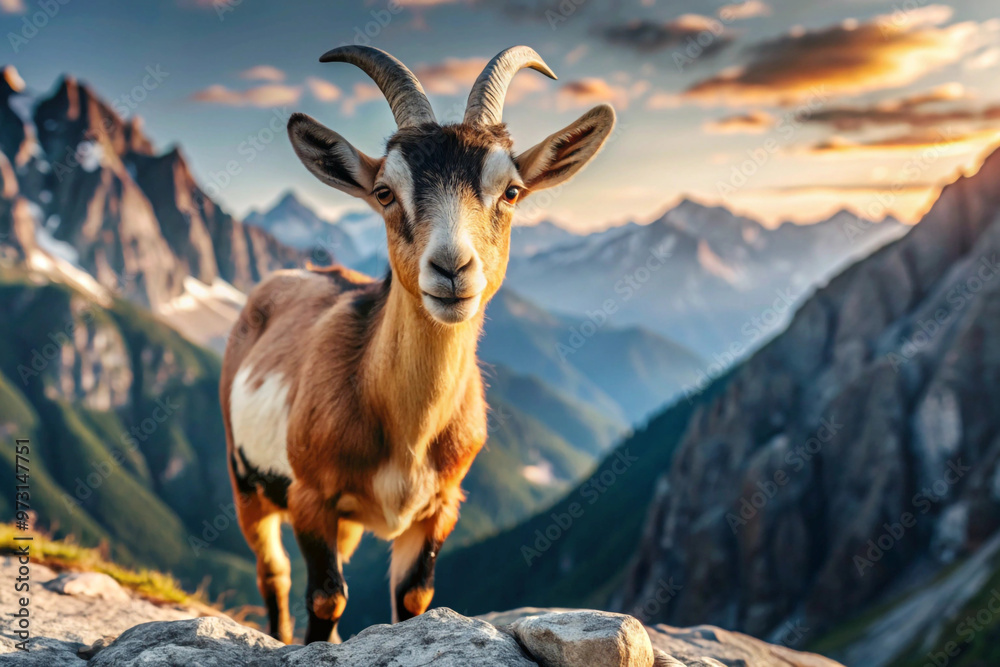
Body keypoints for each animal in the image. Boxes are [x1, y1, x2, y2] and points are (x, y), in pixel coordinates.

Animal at [220, 45, 615, 644]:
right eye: (385, 192)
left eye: (511, 191)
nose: (451, 268)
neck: (403, 425)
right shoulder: (312, 496)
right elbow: (327, 596)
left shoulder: (441, 505)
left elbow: (413, 597)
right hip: (246, 480)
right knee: (275, 572)